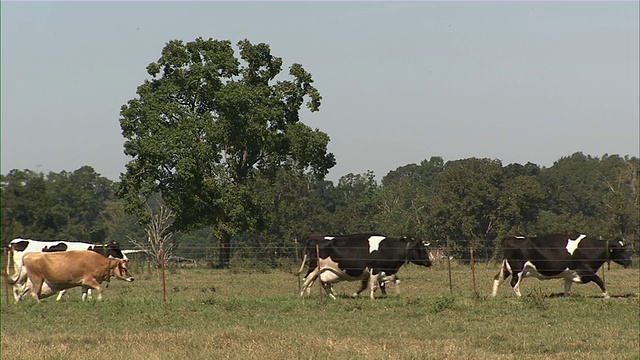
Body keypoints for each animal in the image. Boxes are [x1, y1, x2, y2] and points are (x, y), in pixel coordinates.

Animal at [298, 232, 432, 300]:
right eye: (422, 250)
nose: (430, 262)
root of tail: (315, 239)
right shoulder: (375, 269)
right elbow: (374, 286)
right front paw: (372, 298)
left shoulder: (383, 271)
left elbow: (394, 280)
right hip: (315, 267)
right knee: (307, 280)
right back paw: (302, 296)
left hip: (324, 270)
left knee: (322, 283)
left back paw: (332, 296)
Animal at [492, 233, 632, 298]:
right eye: (620, 250)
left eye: (624, 248)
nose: (629, 261)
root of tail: (511, 238)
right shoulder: (585, 270)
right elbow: (599, 280)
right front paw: (607, 295)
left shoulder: (570, 273)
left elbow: (567, 287)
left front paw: (564, 297)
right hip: (518, 269)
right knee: (514, 283)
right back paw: (521, 297)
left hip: (507, 267)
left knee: (497, 278)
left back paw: (493, 296)